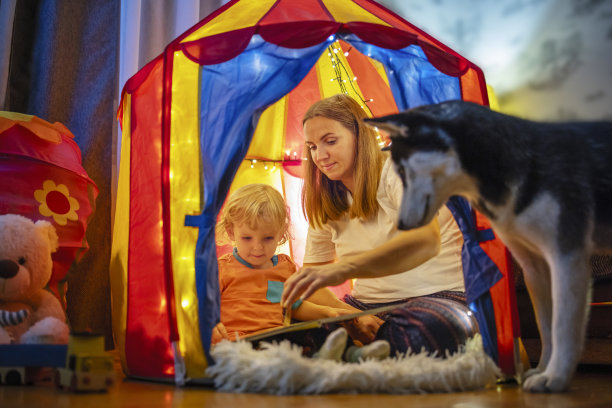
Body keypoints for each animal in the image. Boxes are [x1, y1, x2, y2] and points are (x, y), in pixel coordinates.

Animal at [366, 101, 612, 392]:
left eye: (402, 171)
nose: (401, 224)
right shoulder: (535, 266)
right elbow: (546, 326)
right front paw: (543, 370)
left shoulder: (566, 257)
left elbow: (563, 325)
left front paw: (555, 377)